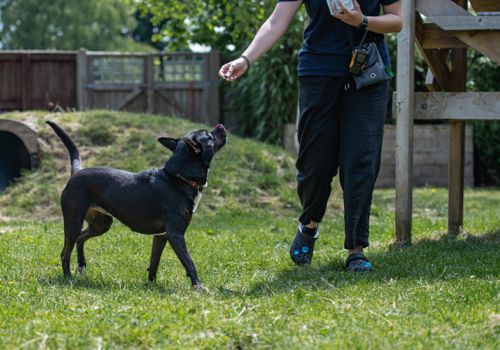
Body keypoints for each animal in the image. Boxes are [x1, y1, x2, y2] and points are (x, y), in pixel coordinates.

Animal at [47, 120, 227, 290]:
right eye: (208, 136)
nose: (220, 125)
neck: (178, 178)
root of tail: (76, 172)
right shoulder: (175, 235)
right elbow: (189, 262)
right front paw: (198, 286)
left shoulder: (161, 236)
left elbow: (154, 263)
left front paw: (151, 285)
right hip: (74, 221)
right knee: (65, 252)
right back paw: (68, 277)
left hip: (101, 224)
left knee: (80, 239)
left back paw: (81, 266)